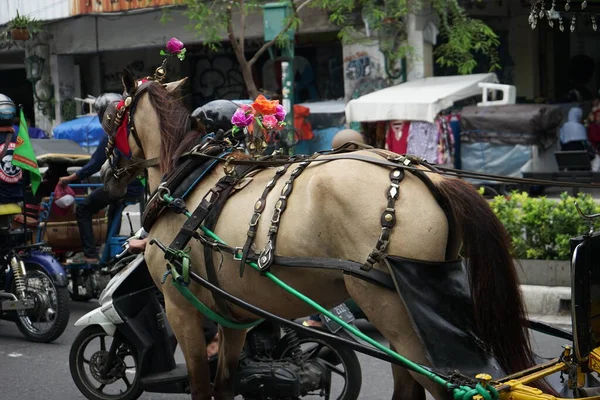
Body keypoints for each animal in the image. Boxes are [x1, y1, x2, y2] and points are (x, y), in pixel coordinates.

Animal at [98, 72, 552, 400]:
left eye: (110, 117)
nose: (105, 175)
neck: (188, 179)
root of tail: (427, 176)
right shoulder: (233, 318)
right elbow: (225, 385)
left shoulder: (182, 310)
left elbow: (200, 387)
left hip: (396, 313)